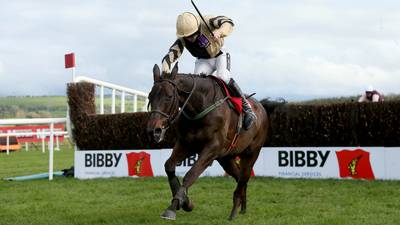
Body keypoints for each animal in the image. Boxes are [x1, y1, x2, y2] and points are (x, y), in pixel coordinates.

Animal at [147, 62, 268, 220]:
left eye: (169, 96)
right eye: (150, 96)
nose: (153, 131)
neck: (200, 106)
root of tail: (261, 108)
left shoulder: (212, 148)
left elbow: (190, 175)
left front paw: (174, 207)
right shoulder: (186, 144)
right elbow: (169, 166)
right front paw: (186, 202)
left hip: (251, 154)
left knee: (243, 179)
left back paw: (233, 213)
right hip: (226, 158)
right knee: (239, 179)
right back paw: (242, 208)